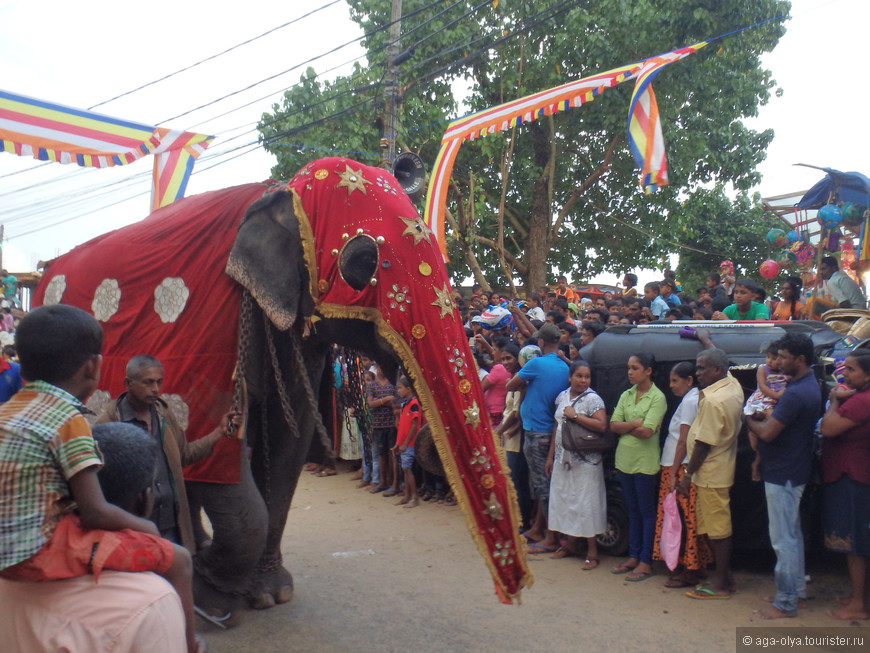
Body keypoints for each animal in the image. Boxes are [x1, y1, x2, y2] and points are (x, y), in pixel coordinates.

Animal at [34, 155, 536, 620]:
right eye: (362, 262)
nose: (515, 593)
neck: (278, 194)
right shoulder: (211, 334)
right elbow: (221, 452)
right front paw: (213, 588)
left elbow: (287, 437)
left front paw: (263, 594)